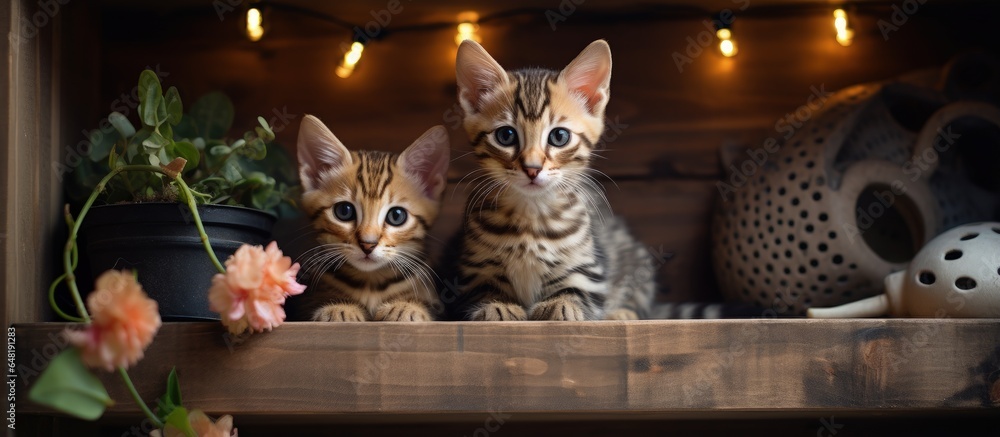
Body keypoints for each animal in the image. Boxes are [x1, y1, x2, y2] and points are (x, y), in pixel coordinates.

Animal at [294, 115, 448, 320]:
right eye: (344, 211)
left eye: (396, 216)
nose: (368, 244)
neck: (371, 282)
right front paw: (339, 308)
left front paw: (407, 307)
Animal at [452, 40, 656, 320]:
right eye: (506, 135)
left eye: (559, 136)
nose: (532, 168)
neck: (530, 216)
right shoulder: (473, 271)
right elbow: (483, 290)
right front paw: (497, 306)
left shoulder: (589, 271)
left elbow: (575, 291)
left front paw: (562, 305)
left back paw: (622, 313)